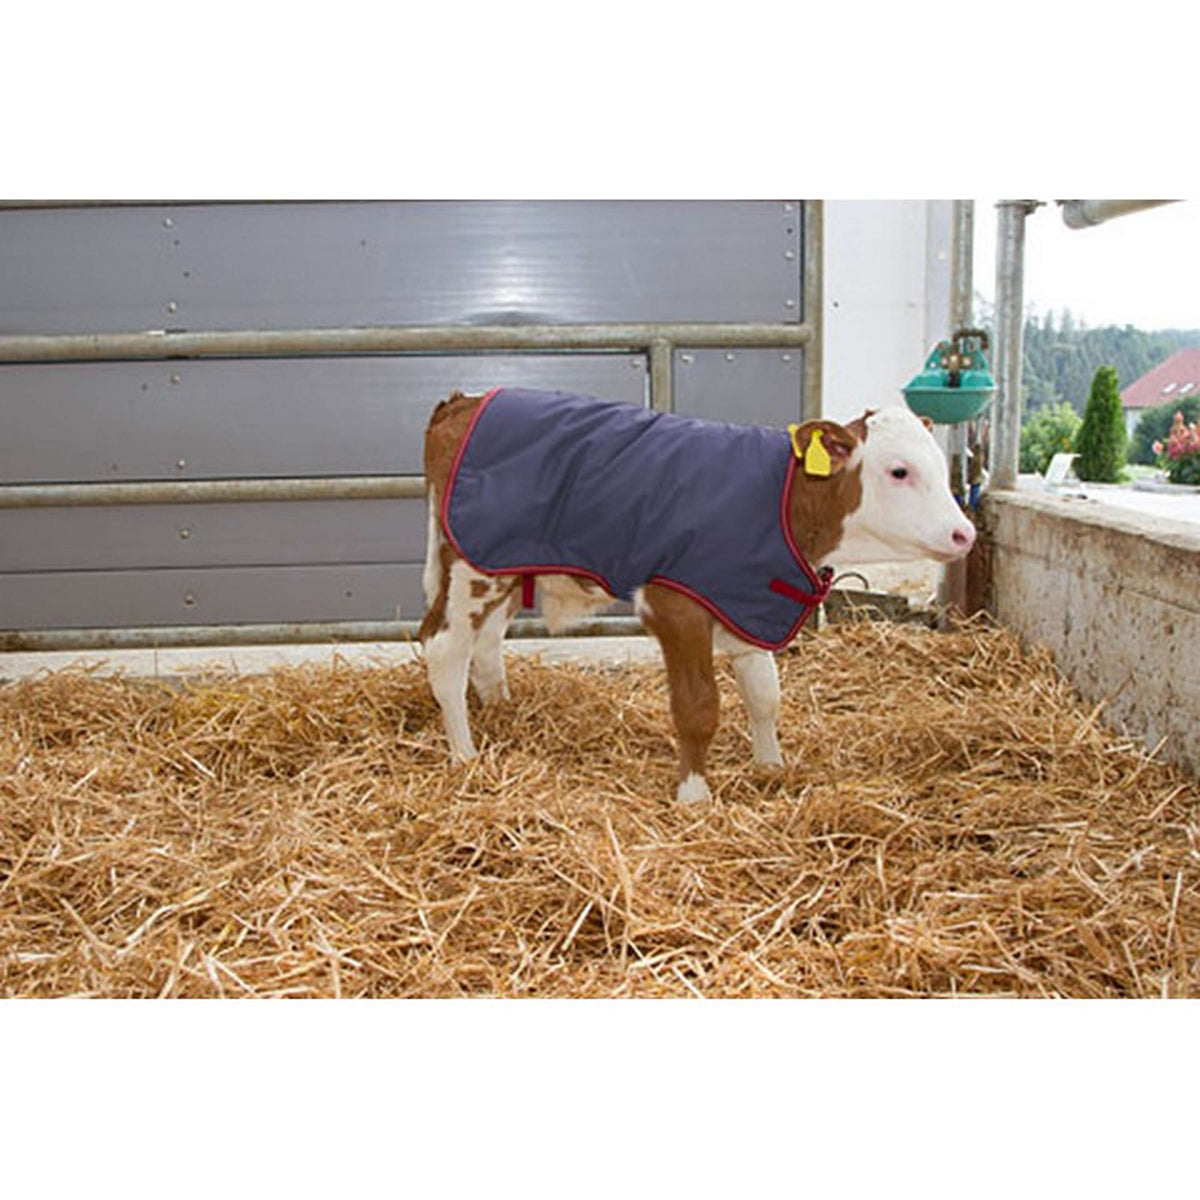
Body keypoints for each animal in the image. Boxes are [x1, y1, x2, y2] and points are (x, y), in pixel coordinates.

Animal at [418, 386, 975, 804]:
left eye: (942, 468)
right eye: (899, 471)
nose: (964, 533)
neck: (783, 500)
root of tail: (464, 401)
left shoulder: (749, 602)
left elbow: (765, 697)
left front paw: (770, 768)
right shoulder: (675, 602)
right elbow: (698, 707)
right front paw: (694, 796)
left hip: (505, 564)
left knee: (486, 643)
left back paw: (501, 714)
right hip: (470, 565)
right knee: (445, 646)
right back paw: (464, 756)